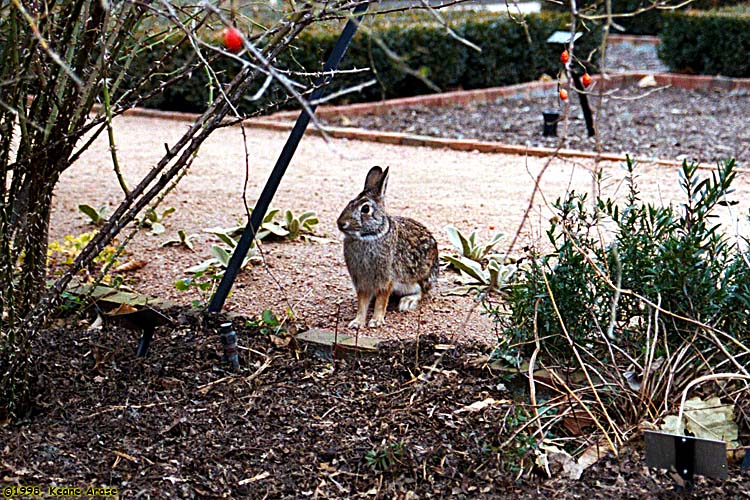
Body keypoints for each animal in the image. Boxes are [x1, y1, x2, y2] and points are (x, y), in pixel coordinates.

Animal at [336, 166, 438, 326]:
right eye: (349, 202)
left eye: (365, 209)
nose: (340, 223)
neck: (371, 236)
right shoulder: (362, 280)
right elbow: (362, 302)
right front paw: (357, 322)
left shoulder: (386, 278)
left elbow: (381, 300)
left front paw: (376, 321)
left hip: (420, 279)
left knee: (421, 292)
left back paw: (407, 302)